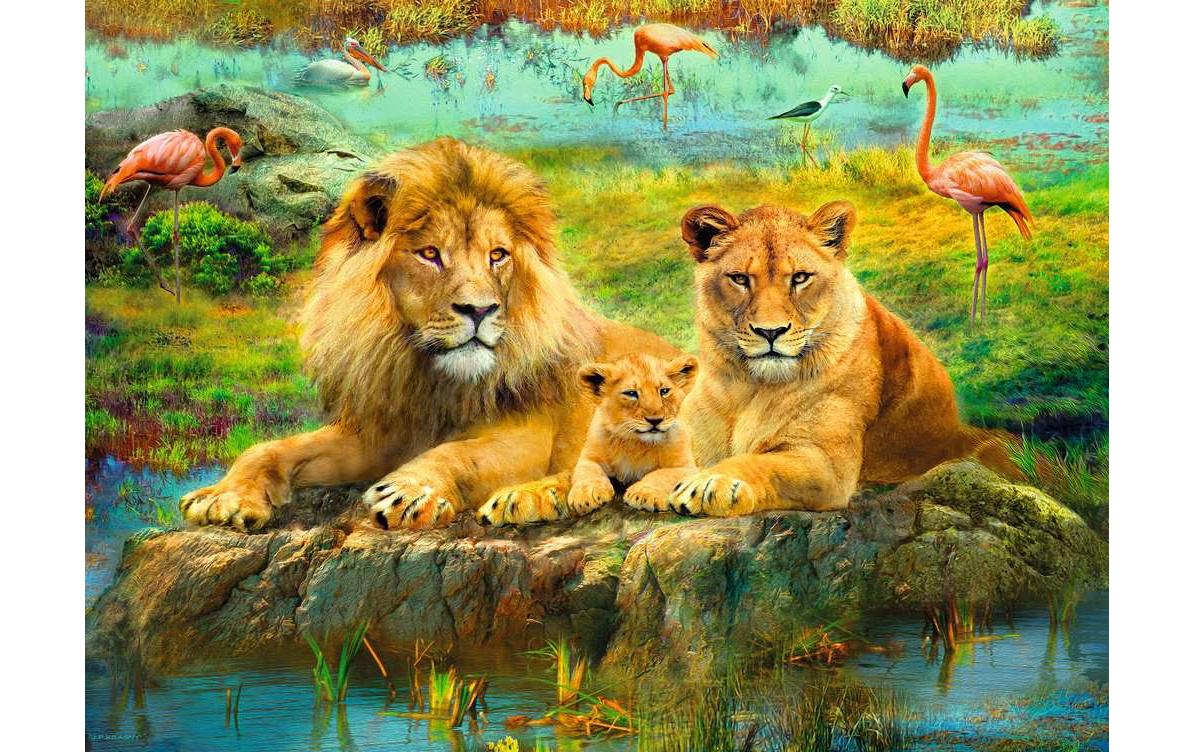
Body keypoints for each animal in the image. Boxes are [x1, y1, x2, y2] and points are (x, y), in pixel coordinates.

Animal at [179, 138, 677, 531]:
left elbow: (459, 454)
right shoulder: (379, 433)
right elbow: (270, 448)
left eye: (498, 255)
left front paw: (410, 490)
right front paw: (223, 496)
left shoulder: (526, 435)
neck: (430, 378)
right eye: (430, 254)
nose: (479, 309)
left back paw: (526, 498)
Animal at [630, 200, 1019, 518]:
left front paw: (713, 483)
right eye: (739, 279)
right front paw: (650, 488)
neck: (748, 388)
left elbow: (760, 462)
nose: (770, 331)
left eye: (800, 277)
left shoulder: (826, 465)